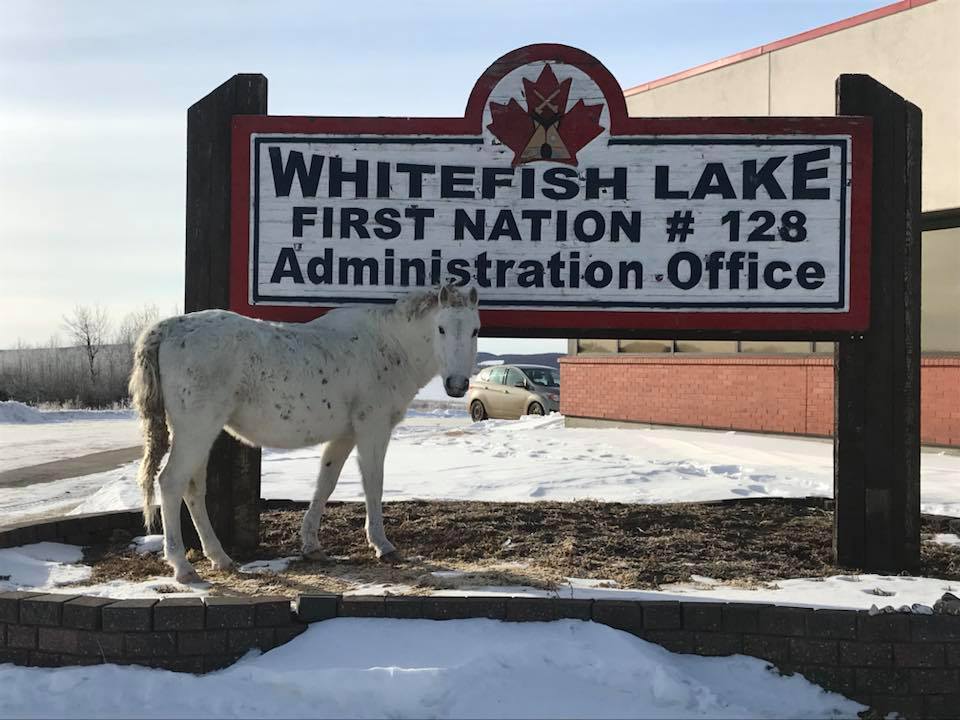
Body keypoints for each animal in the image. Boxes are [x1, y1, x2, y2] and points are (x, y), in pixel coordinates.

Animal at [129, 284, 480, 584]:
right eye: (441, 328)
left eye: (475, 329)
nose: (457, 384)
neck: (389, 346)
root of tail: (169, 327)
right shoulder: (373, 427)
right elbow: (373, 484)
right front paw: (382, 545)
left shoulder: (345, 435)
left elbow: (326, 483)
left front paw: (311, 545)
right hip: (196, 429)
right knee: (171, 483)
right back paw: (182, 566)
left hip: (200, 432)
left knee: (192, 488)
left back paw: (220, 557)